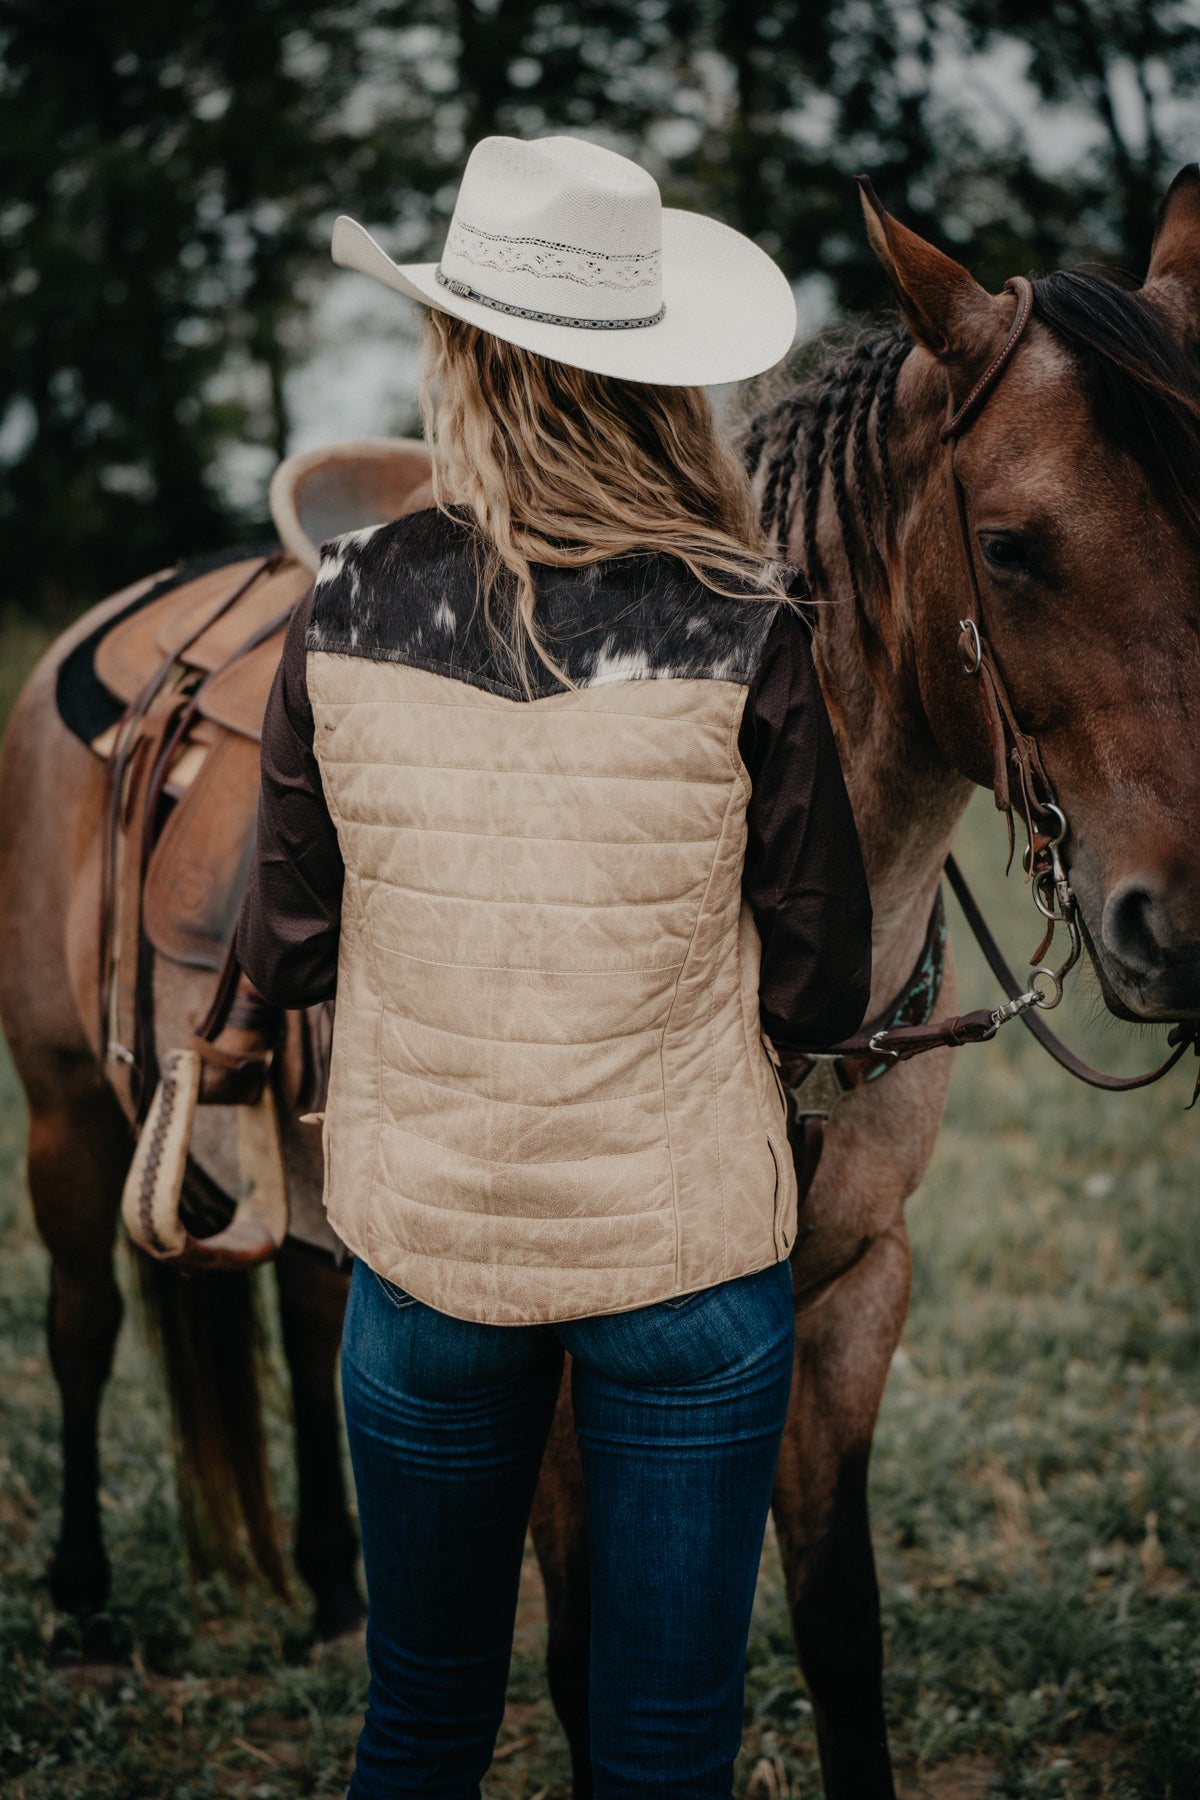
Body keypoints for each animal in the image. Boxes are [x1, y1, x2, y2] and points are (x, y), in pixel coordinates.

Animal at [2, 165, 1200, 1785]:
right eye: (1011, 547)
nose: (1179, 923)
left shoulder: (853, 1297)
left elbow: (843, 1633)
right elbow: (583, 1659)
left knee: (308, 1309)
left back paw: (334, 1588)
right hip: (68, 1106)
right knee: (81, 1324)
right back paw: (78, 1600)